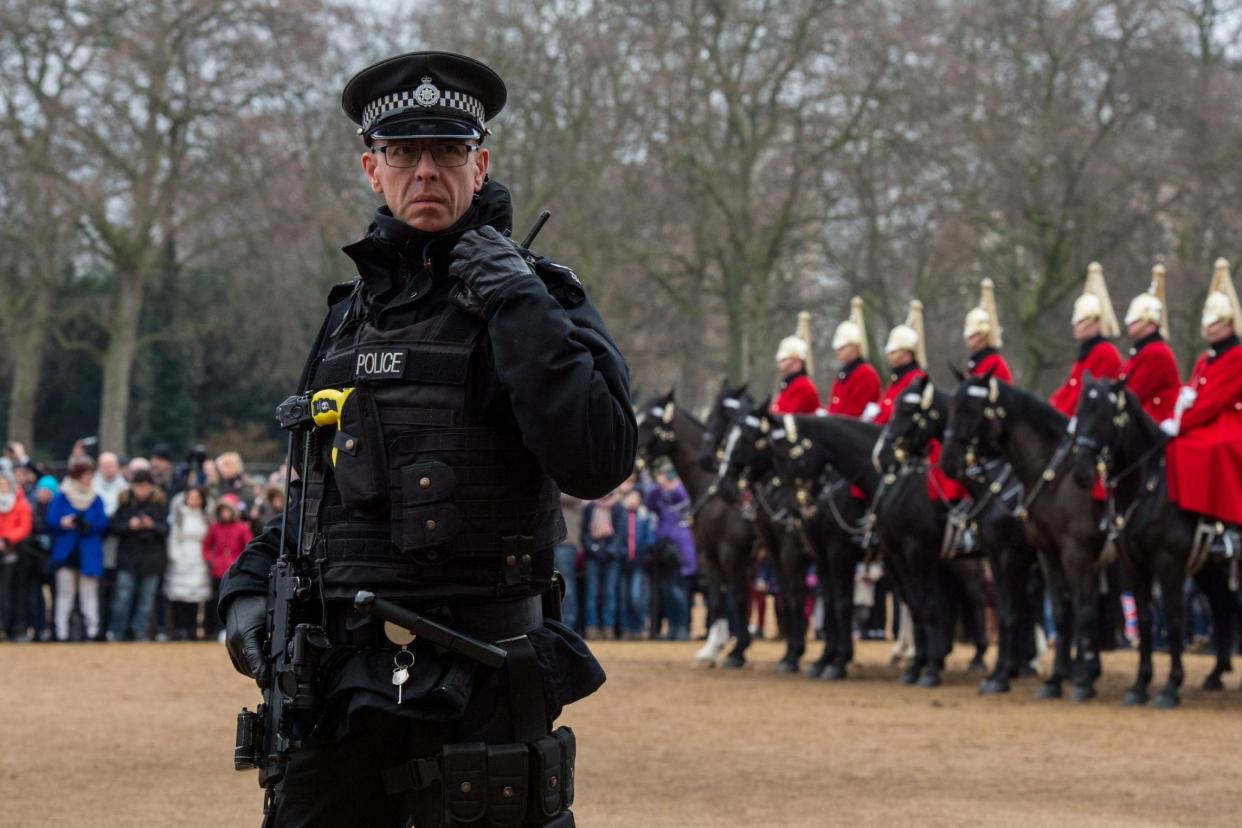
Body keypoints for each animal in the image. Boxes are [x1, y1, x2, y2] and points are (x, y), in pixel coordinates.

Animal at [640, 392, 755, 670]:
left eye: (649, 422)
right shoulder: (708, 553)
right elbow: (717, 598)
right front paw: (713, 648)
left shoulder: (731, 553)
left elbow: (737, 596)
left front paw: (738, 650)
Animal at [884, 374, 1038, 695]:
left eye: (906, 409)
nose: (882, 454)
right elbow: (922, 606)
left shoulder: (918, 553)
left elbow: (929, 607)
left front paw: (928, 669)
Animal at [938, 372, 1107, 705]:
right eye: (949, 408)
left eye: (971, 409)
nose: (949, 462)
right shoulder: (1011, 556)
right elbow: (1017, 611)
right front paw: (1006, 673)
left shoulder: (1025, 556)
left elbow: (1018, 613)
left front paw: (1005, 673)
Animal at [1073, 374, 1237, 705]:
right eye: (1081, 412)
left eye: (1105, 416)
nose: (1081, 473)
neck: (1149, 487)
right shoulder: (1133, 564)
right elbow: (1146, 618)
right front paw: (1140, 685)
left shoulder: (1168, 563)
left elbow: (1173, 621)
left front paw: (1171, 687)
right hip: (1209, 568)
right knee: (1223, 607)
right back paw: (1215, 675)